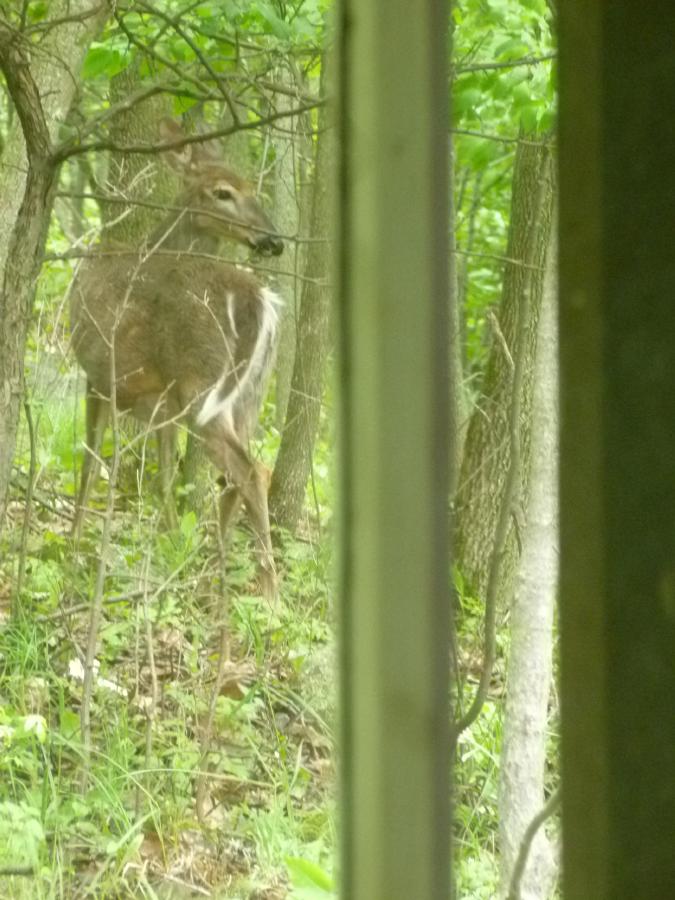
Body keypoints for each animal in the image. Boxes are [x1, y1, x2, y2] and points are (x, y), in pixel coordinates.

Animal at [70, 118, 286, 596]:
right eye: (223, 191)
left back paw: (266, 590)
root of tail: (258, 299)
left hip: (201, 386)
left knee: (251, 471)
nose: (274, 240)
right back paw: (216, 572)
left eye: (251, 187)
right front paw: (170, 542)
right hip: (248, 395)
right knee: (237, 476)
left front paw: (74, 538)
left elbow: (91, 463)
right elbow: (165, 476)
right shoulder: (158, 401)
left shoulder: (98, 372)